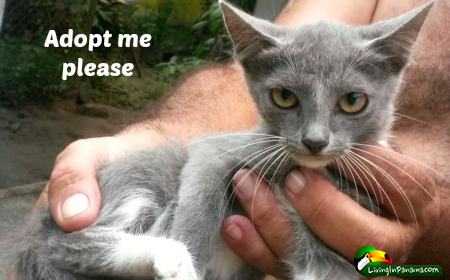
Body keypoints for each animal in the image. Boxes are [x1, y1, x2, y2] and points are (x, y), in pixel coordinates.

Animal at [10, 1, 432, 280]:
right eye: (284, 97)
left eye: (352, 101)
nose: (314, 141)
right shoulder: (215, 150)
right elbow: (196, 209)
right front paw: (188, 258)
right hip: (139, 178)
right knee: (67, 246)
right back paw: (171, 258)